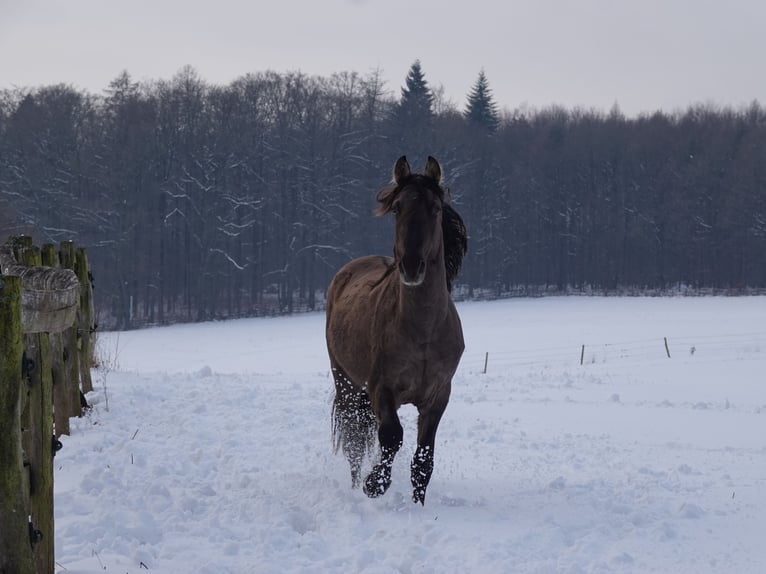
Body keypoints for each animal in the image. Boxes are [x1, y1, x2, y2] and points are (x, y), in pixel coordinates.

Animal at [325, 155, 467, 504]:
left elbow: (423, 460)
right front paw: (374, 484)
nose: (411, 266)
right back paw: (354, 488)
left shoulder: (438, 395)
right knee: (354, 441)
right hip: (346, 382)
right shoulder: (382, 389)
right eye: (397, 208)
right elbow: (392, 437)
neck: (423, 331)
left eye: (436, 208)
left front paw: (418, 505)